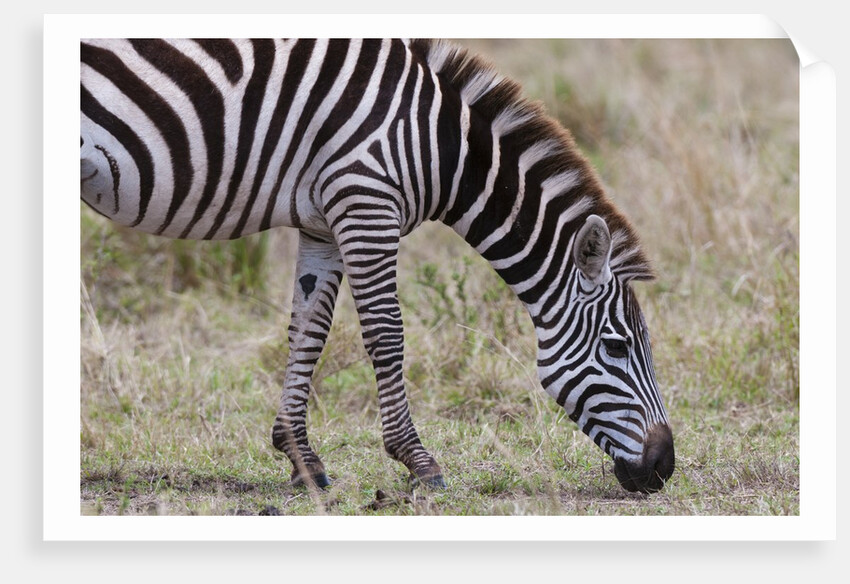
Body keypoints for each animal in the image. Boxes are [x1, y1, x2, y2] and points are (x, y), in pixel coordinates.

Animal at [80, 38, 675, 494]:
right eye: (617, 348)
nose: (664, 468)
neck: (439, 144)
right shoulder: (365, 199)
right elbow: (386, 333)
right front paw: (417, 461)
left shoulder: (323, 221)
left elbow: (308, 330)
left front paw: (300, 457)